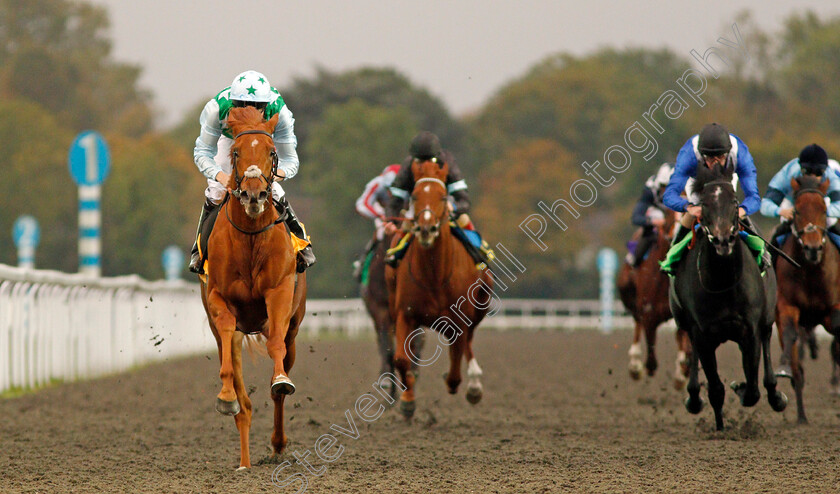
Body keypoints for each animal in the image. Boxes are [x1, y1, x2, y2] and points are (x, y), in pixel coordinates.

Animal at [199, 106, 306, 468]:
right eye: (235, 152)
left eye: (272, 152)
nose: (255, 194)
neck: (249, 241)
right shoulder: (219, 300)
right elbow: (229, 365)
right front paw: (226, 396)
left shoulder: (279, 291)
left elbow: (275, 349)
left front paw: (282, 381)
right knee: (242, 401)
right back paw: (244, 460)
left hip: (294, 327)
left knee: (281, 369)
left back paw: (276, 443)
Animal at [386, 160, 496, 418]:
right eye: (415, 195)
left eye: (444, 196)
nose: (427, 229)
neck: (434, 274)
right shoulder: (405, 314)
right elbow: (402, 360)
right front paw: (407, 400)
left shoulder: (459, 318)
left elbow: (456, 363)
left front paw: (456, 382)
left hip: (480, 305)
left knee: (468, 342)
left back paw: (474, 384)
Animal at [612, 210, 692, 388]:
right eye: (668, 211)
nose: (679, 233)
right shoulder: (649, 312)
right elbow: (651, 357)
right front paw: (640, 367)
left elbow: (685, 345)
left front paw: (682, 372)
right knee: (637, 322)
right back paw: (635, 364)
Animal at [668, 164, 788, 430]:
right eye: (704, 204)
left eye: (734, 201)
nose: (723, 240)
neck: (723, 284)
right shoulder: (703, 333)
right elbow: (715, 388)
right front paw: (720, 426)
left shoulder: (749, 330)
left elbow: (752, 388)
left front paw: (741, 388)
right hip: (687, 324)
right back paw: (694, 397)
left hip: (766, 318)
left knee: (766, 348)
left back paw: (775, 395)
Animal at [776, 173, 840, 420]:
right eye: (797, 211)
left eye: (823, 209)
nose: (813, 248)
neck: (812, 272)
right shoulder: (787, 305)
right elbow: (790, 334)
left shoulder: (834, 307)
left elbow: (837, 330)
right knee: (797, 366)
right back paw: (802, 415)